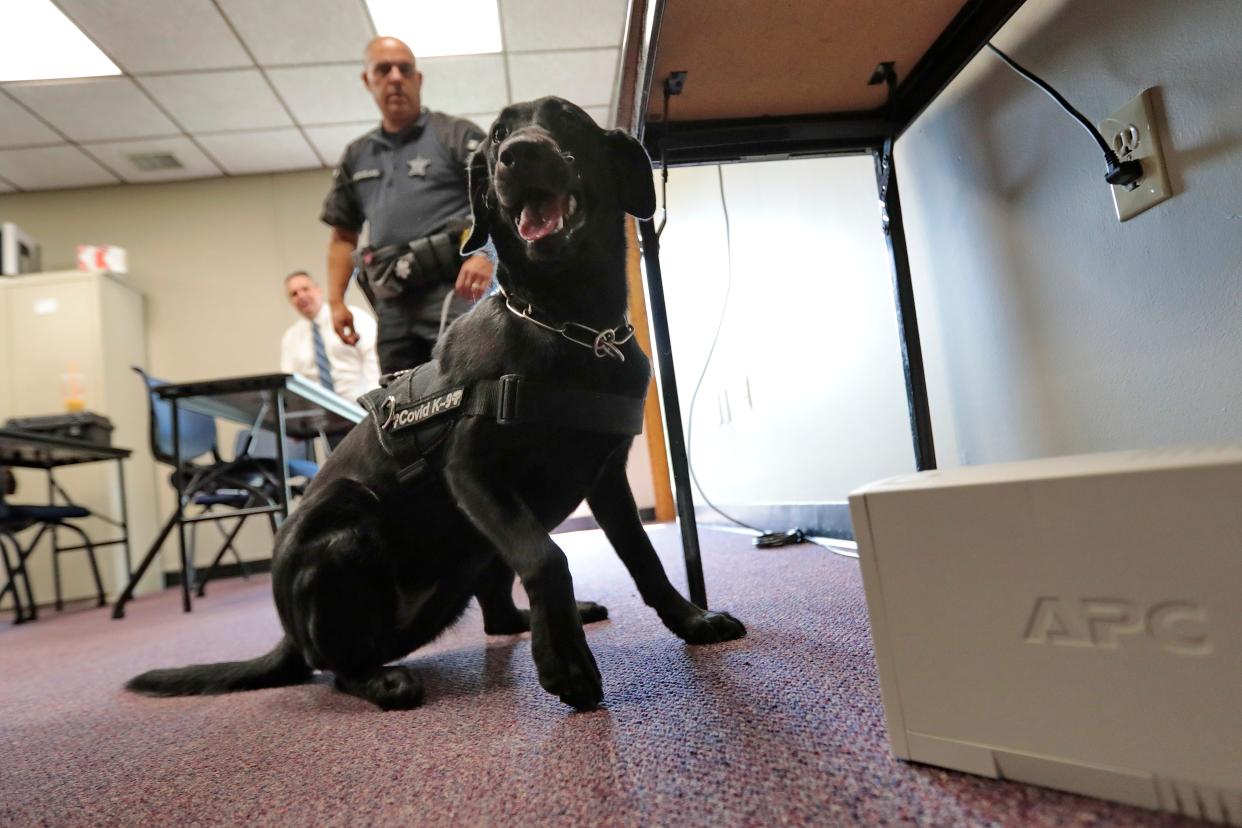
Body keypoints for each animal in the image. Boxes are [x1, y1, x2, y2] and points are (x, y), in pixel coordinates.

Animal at [128, 95, 745, 705]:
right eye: (496, 136)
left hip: (471, 558)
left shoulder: (607, 480)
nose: (518, 156)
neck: (568, 325)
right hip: (346, 527)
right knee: (337, 667)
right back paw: (383, 680)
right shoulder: (470, 471)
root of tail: (287, 634)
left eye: (568, 117)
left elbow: (646, 560)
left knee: (496, 618)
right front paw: (565, 662)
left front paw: (693, 621)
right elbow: (547, 555)